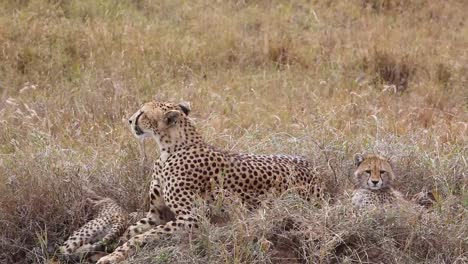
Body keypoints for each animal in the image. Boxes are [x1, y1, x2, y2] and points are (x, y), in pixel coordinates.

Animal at [97, 101, 328, 264]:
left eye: (142, 113)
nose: (129, 120)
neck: (168, 149)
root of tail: (314, 167)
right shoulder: (157, 214)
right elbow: (131, 230)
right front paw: (110, 248)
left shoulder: (193, 218)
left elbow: (142, 236)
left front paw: (113, 255)